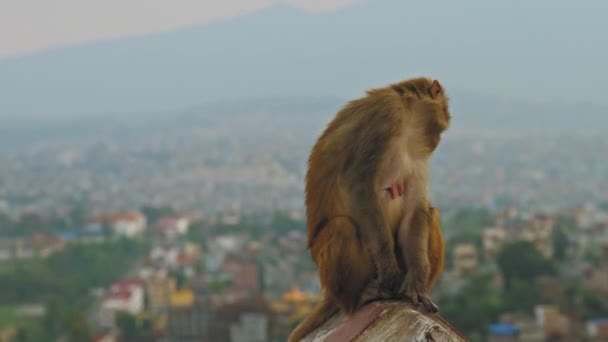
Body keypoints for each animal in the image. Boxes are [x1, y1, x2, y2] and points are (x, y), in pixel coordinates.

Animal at [290, 76, 452, 340]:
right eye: (443, 119)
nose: (437, 140)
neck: (407, 118)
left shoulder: (417, 152)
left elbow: (414, 210)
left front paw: (417, 283)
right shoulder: (385, 115)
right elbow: (358, 184)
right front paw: (389, 269)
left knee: (431, 213)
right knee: (341, 226)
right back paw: (359, 297)